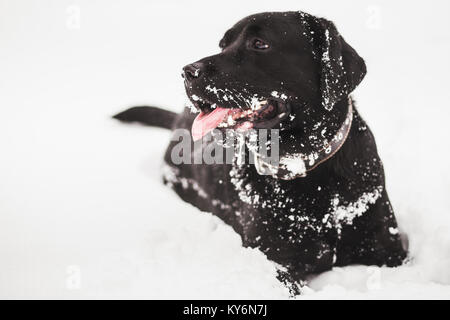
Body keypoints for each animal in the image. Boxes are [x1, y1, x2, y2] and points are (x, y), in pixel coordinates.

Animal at [115, 11, 408, 292]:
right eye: (223, 44)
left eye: (260, 44)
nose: (187, 71)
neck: (307, 167)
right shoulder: (273, 261)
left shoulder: (390, 249)